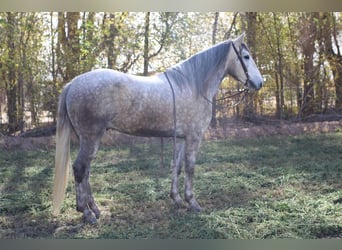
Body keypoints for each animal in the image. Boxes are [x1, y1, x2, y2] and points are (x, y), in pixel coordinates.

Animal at [51, 32, 264, 223]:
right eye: (246, 57)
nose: (260, 82)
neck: (193, 86)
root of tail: (73, 83)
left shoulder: (180, 138)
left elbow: (176, 166)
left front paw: (176, 200)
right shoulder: (194, 137)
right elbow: (190, 168)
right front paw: (192, 202)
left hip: (89, 139)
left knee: (86, 171)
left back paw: (95, 209)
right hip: (90, 137)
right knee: (80, 169)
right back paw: (86, 213)